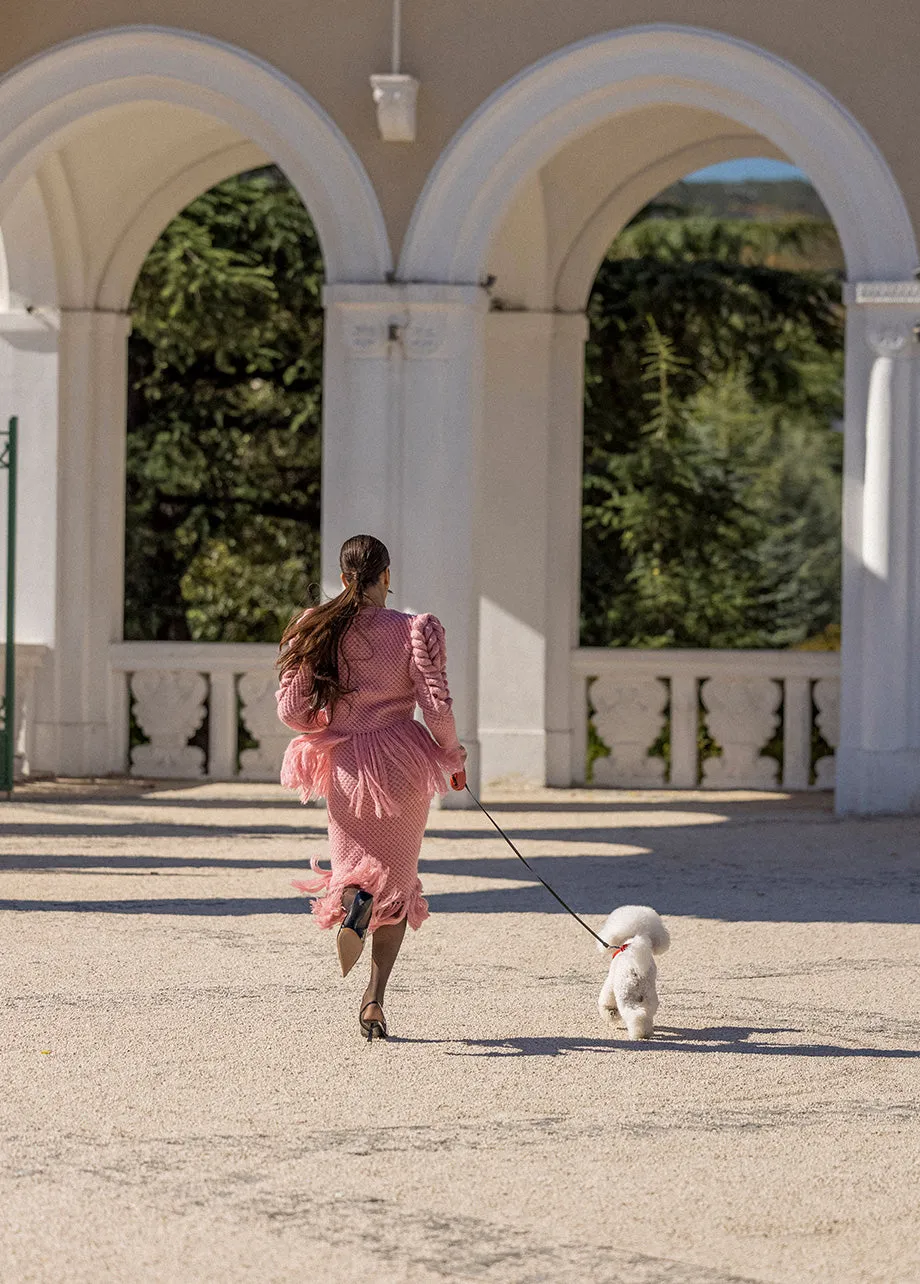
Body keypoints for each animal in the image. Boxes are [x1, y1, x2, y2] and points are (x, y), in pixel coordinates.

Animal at [595, 909, 667, 1037]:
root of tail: (636, 972)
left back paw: (638, 1033)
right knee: (647, 1014)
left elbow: (607, 999)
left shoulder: (611, 981)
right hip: (649, 996)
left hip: (626, 995)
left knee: (635, 1015)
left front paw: (611, 1012)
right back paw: (647, 1032)